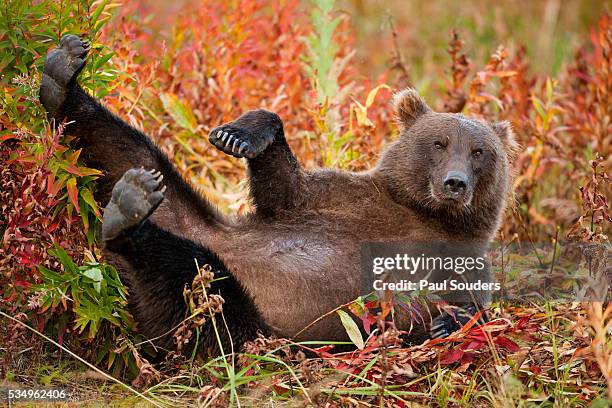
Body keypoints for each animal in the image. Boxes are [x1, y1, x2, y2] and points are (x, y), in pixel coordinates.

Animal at [39, 35, 516, 354]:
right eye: (438, 143)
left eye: (479, 152)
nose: (455, 183)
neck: (421, 213)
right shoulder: (346, 197)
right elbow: (286, 188)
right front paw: (240, 134)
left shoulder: (459, 259)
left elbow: (463, 306)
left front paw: (445, 322)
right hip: (188, 215)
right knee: (125, 152)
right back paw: (63, 78)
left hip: (240, 318)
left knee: (184, 274)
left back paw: (127, 213)